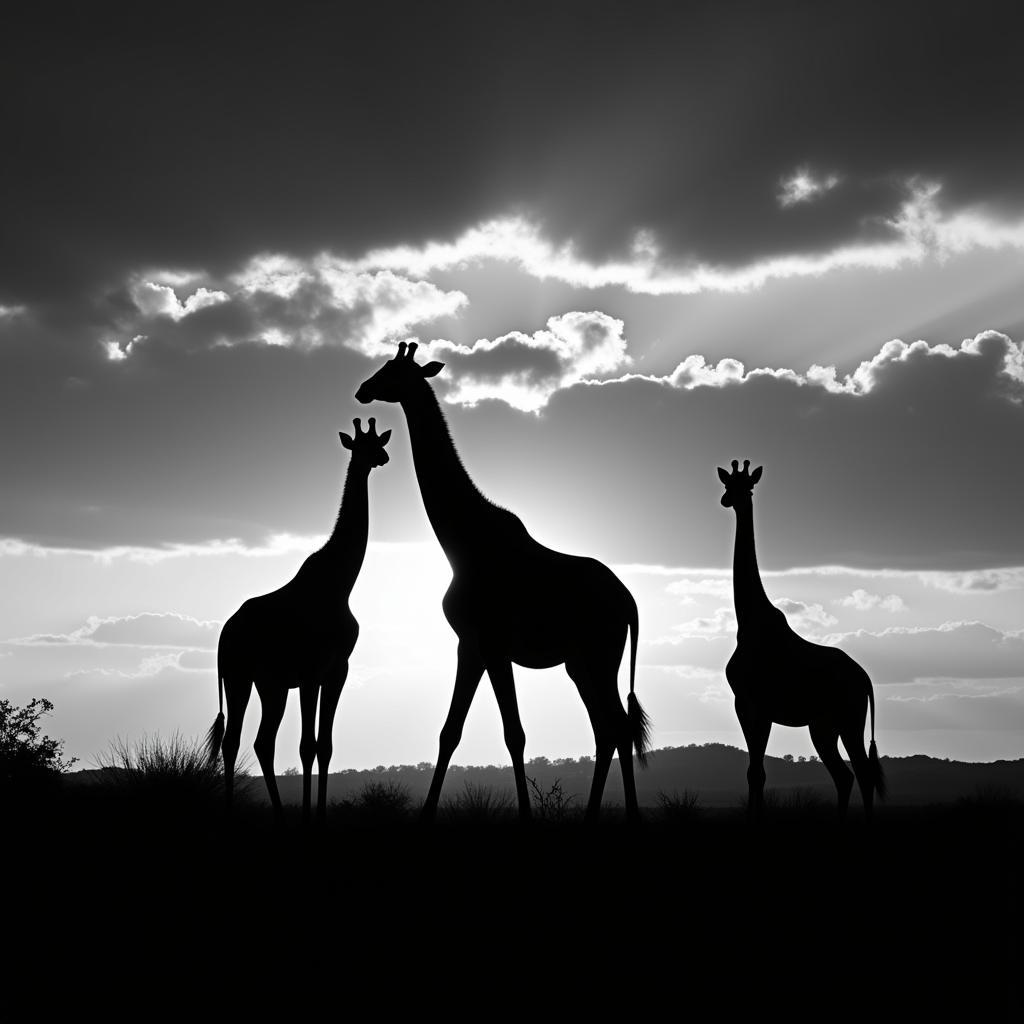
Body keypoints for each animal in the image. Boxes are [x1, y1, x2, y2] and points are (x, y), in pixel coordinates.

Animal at [205, 415, 389, 823]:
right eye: (362, 445)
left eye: (378, 442)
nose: (382, 458)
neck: (340, 584)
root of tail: (224, 633)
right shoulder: (310, 671)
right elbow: (307, 745)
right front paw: (307, 816)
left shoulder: (337, 671)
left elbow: (325, 746)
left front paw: (317, 815)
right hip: (239, 676)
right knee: (233, 739)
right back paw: (230, 811)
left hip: (269, 684)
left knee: (262, 742)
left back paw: (277, 811)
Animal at [356, 344, 651, 823]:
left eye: (393, 370)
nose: (363, 390)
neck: (462, 541)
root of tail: (630, 603)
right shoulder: (470, 644)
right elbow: (450, 731)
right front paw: (426, 814)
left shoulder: (494, 645)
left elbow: (514, 733)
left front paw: (527, 817)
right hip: (580, 663)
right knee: (606, 728)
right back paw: (592, 815)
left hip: (602, 654)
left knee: (618, 727)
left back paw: (631, 817)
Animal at [716, 460, 884, 819]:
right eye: (728, 485)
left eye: (749, 487)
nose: (728, 500)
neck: (747, 619)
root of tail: (865, 678)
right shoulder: (749, 705)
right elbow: (754, 771)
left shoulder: (753, 704)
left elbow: (756, 771)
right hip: (824, 726)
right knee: (845, 775)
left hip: (849, 719)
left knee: (862, 772)